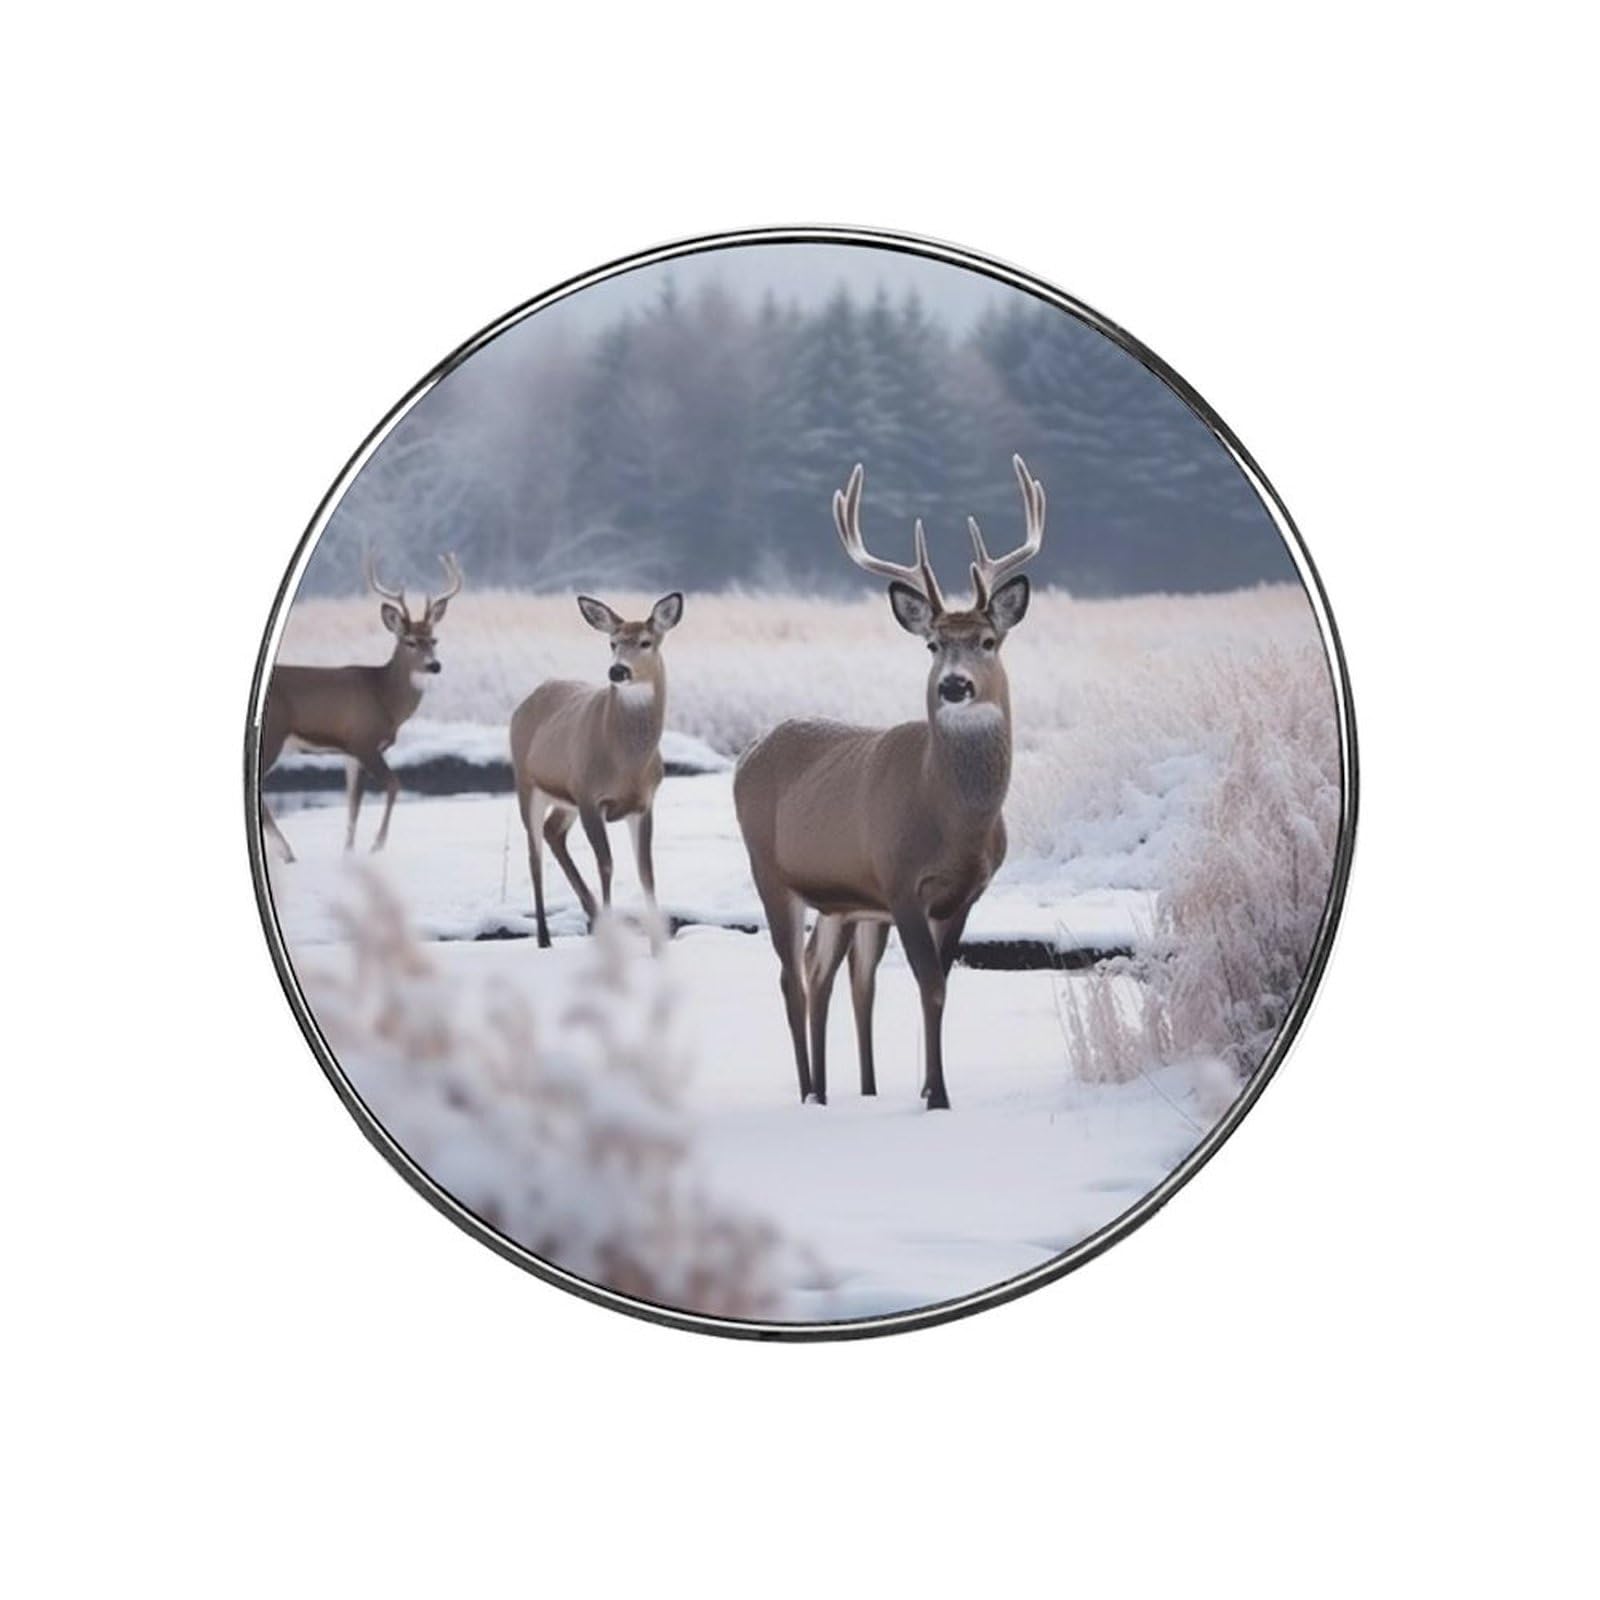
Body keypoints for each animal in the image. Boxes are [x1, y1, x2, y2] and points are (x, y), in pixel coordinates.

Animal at [258, 551, 462, 863]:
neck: (385, 697)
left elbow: (353, 806)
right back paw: (287, 852)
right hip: (273, 735)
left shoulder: (351, 753)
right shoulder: (363, 740)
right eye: (409, 641)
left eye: (434, 639)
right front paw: (377, 845)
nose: (434, 665)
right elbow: (394, 784)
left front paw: (349, 854)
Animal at [509, 591, 685, 948]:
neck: (627, 765)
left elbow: (646, 871)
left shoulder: (644, 802)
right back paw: (544, 938)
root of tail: (526, 702)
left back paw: (590, 913)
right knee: (534, 856)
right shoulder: (590, 795)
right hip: (527, 783)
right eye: (612, 643)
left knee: (552, 832)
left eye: (646, 642)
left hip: (566, 799)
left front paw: (657, 946)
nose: (617, 670)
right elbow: (606, 864)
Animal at [733, 456, 1046, 1110]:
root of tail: (749, 749)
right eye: (932, 644)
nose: (954, 685)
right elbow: (930, 986)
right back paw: (808, 1093)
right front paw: (938, 1097)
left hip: (843, 901)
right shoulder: (901, 881)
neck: (952, 819)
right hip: (770, 871)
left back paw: (846, 1090)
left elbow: (939, 982)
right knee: (792, 976)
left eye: (988, 641)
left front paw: (927, 1087)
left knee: (829, 974)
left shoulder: (965, 894)